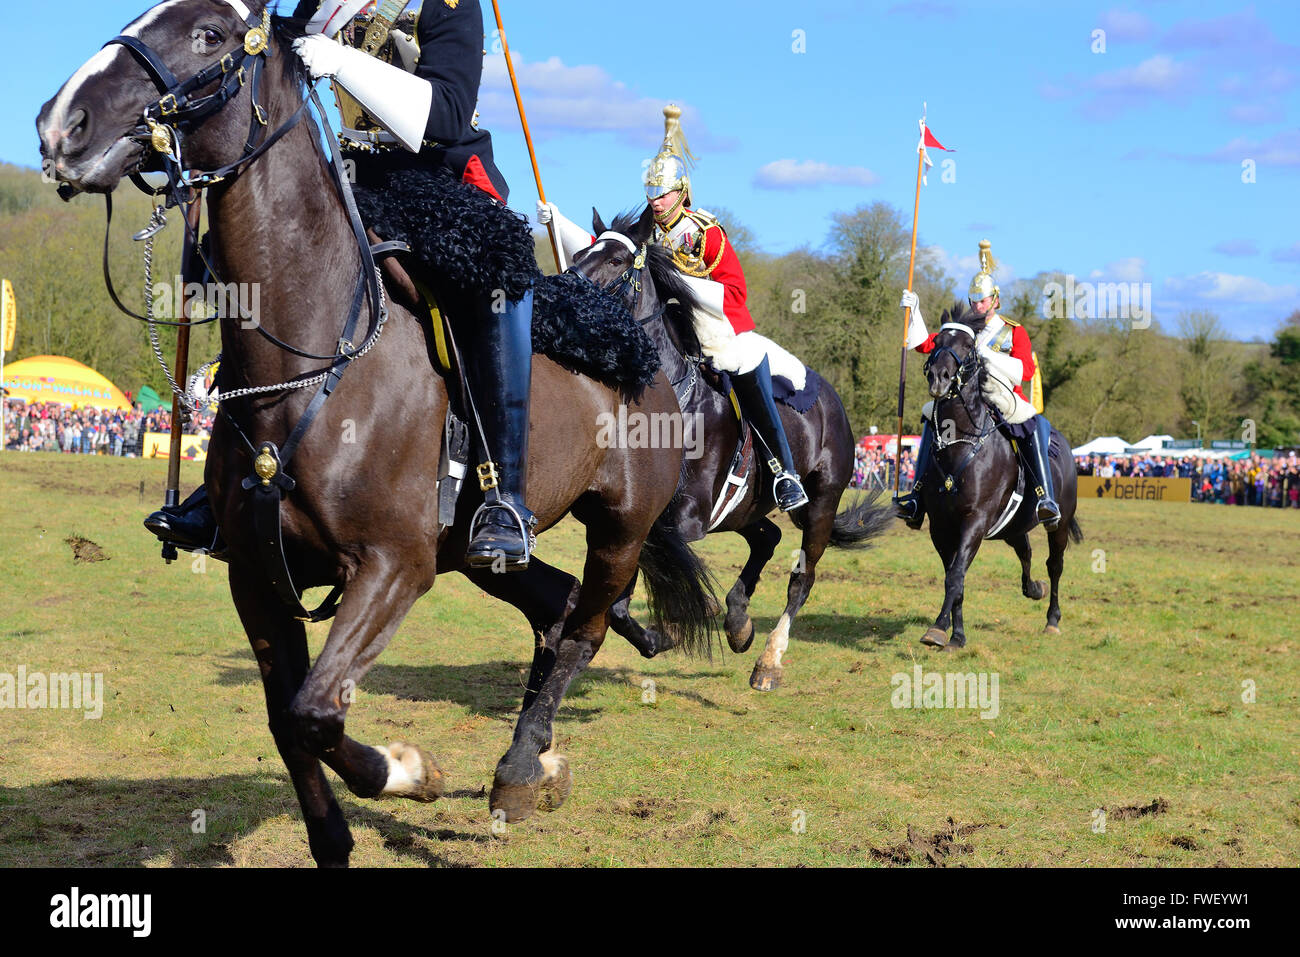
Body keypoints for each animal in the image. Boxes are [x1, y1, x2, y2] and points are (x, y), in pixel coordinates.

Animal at [38, 1, 712, 868]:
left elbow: (315, 710)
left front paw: (410, 770)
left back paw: (519, 769)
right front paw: (335, 835)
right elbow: (287, 720)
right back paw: (535, 762)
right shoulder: (257, 577)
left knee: (585, 629)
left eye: (211, 35)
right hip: (479, 554)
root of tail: (642, 347)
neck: (312, 353)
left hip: (618, 529)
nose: (61, 123)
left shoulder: (392, 566)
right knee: (556, 608)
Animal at [572, 208, 894, 686]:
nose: (562, 291)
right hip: (745, 507)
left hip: (820, 504)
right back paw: (738, 622)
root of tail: (832, 399)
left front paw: (674, 626)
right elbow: (617, 603)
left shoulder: (683, 519)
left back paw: (768, 659)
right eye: (578, 254)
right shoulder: (635, 515)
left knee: (802, 578)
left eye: (614, 261)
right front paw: (662, 636)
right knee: (768, 537)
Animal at [909, 306, 1081, 650]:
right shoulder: (941, 526)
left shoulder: (974, 522)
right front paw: (956, 634)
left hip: (1059, 523)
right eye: (937, 341)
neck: (960, 444)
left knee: (1054, 565)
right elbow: (954, 576)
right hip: (1013, 525)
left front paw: (939, 629)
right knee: (1025, 552)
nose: (938, 378)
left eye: (967, 346)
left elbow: (956, 575)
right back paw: (1033, 588)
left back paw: (1052, 619)